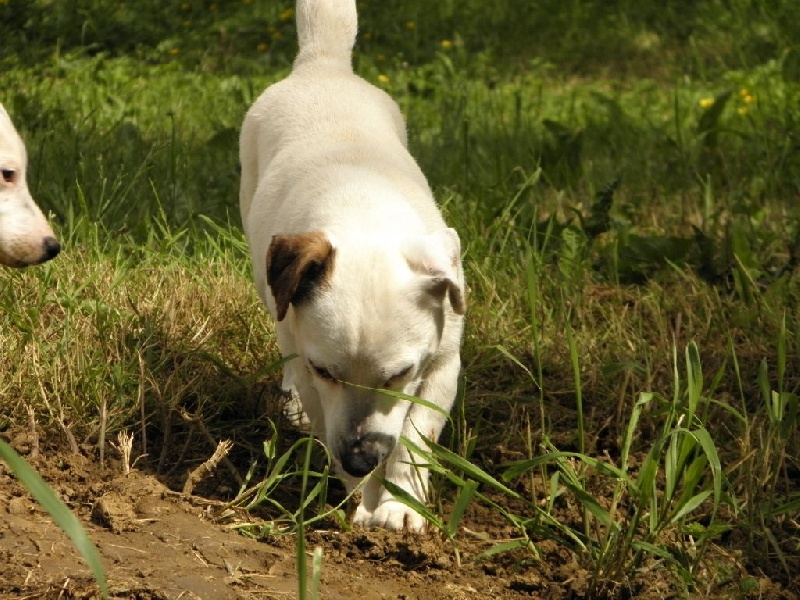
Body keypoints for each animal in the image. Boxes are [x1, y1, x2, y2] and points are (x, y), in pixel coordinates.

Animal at [241, 0, 468, 528]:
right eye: (326, 372)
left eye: (400, 375)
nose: (361, 458)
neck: (362, 209)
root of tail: (323, 65)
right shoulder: (312, 373)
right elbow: (327, 420)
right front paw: (361, 504)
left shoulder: (443, 365)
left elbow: (415, 440)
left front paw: (399, 506)